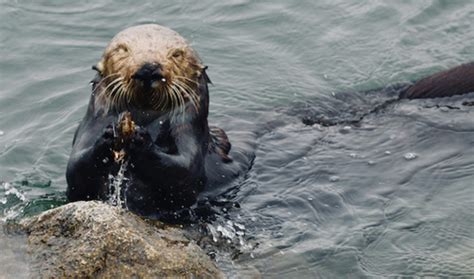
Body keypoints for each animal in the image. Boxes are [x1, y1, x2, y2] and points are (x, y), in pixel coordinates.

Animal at [65, 24, 244, 217]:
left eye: (177, 54)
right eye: (122, 49)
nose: (148, 68)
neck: (144, 116)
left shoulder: (189, 129)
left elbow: (185, 171)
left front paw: (141, 140)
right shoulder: (91, 125)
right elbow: (75, 170)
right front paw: (109, 135)